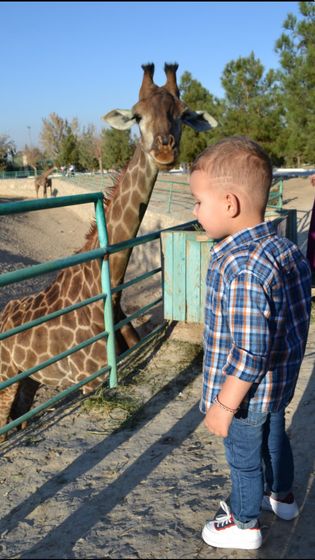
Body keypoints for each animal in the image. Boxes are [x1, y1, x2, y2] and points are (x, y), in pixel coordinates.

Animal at [0, 63, 217, 440]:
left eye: (181, 113)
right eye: (137, 115)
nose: (165, 150)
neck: (108, 290)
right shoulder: (90, 382)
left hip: (27, 381)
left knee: (20, 415)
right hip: (4, 380)